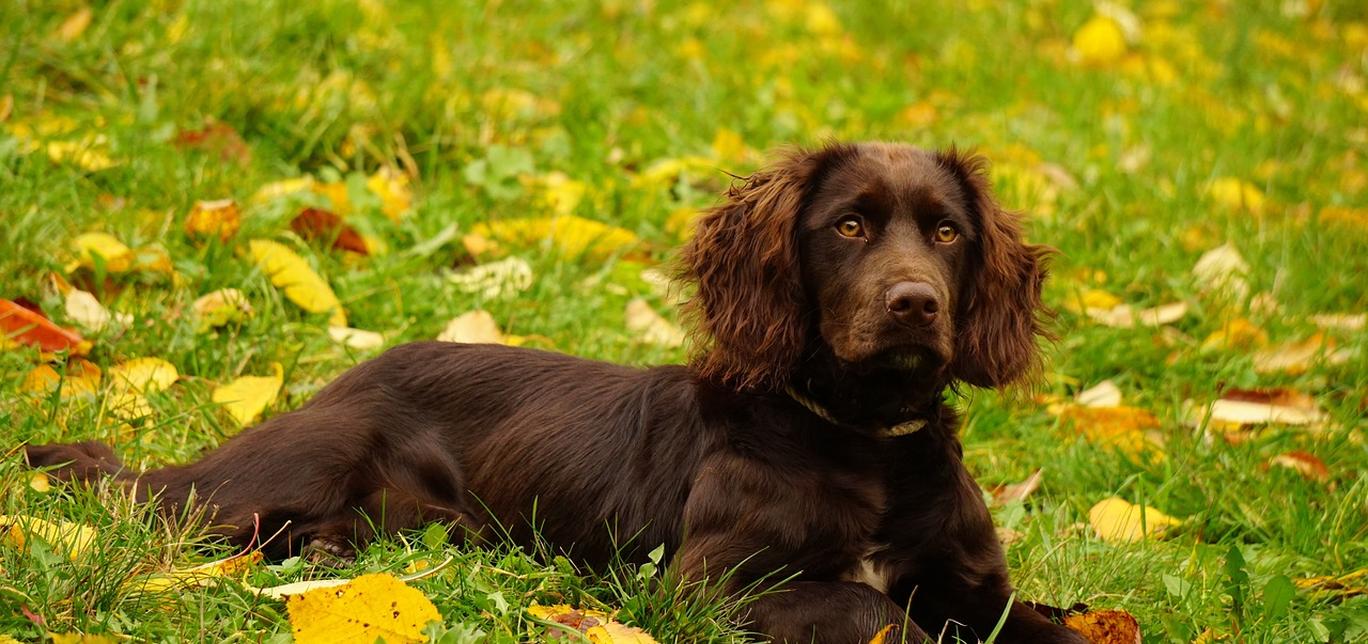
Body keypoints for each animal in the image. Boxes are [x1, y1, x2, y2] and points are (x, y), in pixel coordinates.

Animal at [26, 143, 1083, 642]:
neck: (862, 439)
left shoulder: (977, 588)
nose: (914, 304)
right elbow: (876, 613)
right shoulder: (710, 587)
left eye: (947, 234)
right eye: (851, 226)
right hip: (282, 471)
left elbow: (1036, 623)